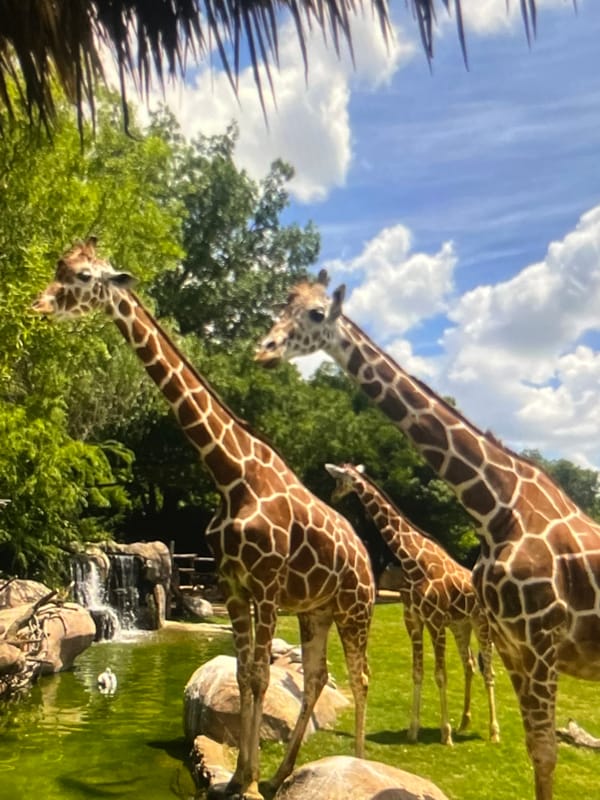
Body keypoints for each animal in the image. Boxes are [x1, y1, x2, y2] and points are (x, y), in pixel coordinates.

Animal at [32, 241, 375, 800]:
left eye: (82, 276)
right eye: (60, 267)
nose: (39, 304)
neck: (229, 473)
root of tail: (366, 556)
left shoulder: (265, 587)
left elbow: (260, 675)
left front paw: (247, 778)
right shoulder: (235, 585)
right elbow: (244, 675)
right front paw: (241, 776)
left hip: (356, 607)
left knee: (360, 677)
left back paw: (358, 764)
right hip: (315, 610)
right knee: (319, 677)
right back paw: (282, 773)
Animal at [325, 462, 499, 746]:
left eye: (339, 480)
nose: (333, 496)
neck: (412, 561)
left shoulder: (435, 621)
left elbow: (440, 674)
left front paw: (445, 734)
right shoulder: (413, 620)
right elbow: (417, 672)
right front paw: (413, 730)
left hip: (481, 624)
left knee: (488, 671)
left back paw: (493, 732)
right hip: (461, 625)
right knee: (470, 665)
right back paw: (464, 722)